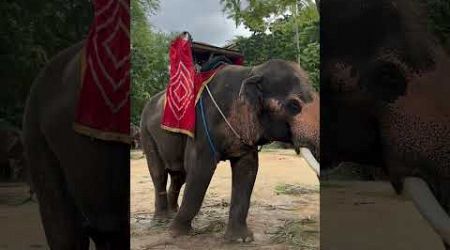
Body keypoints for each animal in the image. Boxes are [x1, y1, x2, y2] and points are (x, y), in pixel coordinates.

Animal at [141, 59, 320, 242]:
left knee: (179, 176)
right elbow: (200, 169)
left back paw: (172, 213)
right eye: (294, 105)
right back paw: (162, 221)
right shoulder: (202, 128)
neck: (251, 72)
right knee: (159, 173)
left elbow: (247, 170)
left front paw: (241, 239)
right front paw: (176, 233)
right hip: (146, 131)